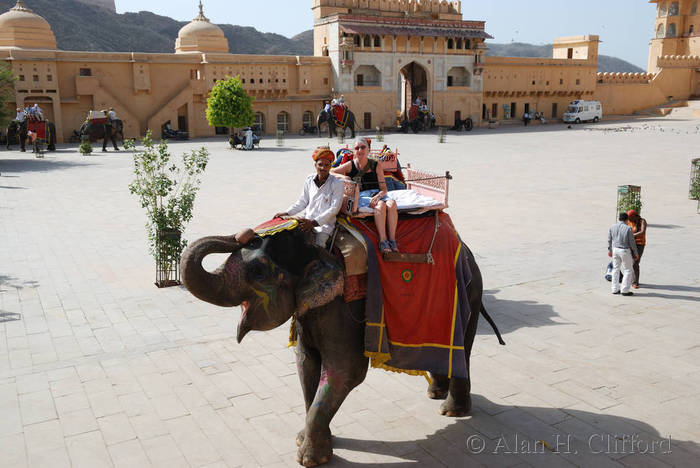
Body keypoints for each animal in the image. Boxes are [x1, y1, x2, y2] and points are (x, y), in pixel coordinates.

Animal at [179, 225, 498, 466]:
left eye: (257, 271)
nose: (244, 234)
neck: (316, 251)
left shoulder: (342, 308)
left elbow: (345, 371)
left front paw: (308, 458)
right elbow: (306, 364)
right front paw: (306, 439)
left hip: (470, 294)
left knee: (463, 348)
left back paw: (452, 411)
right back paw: (435, 394)